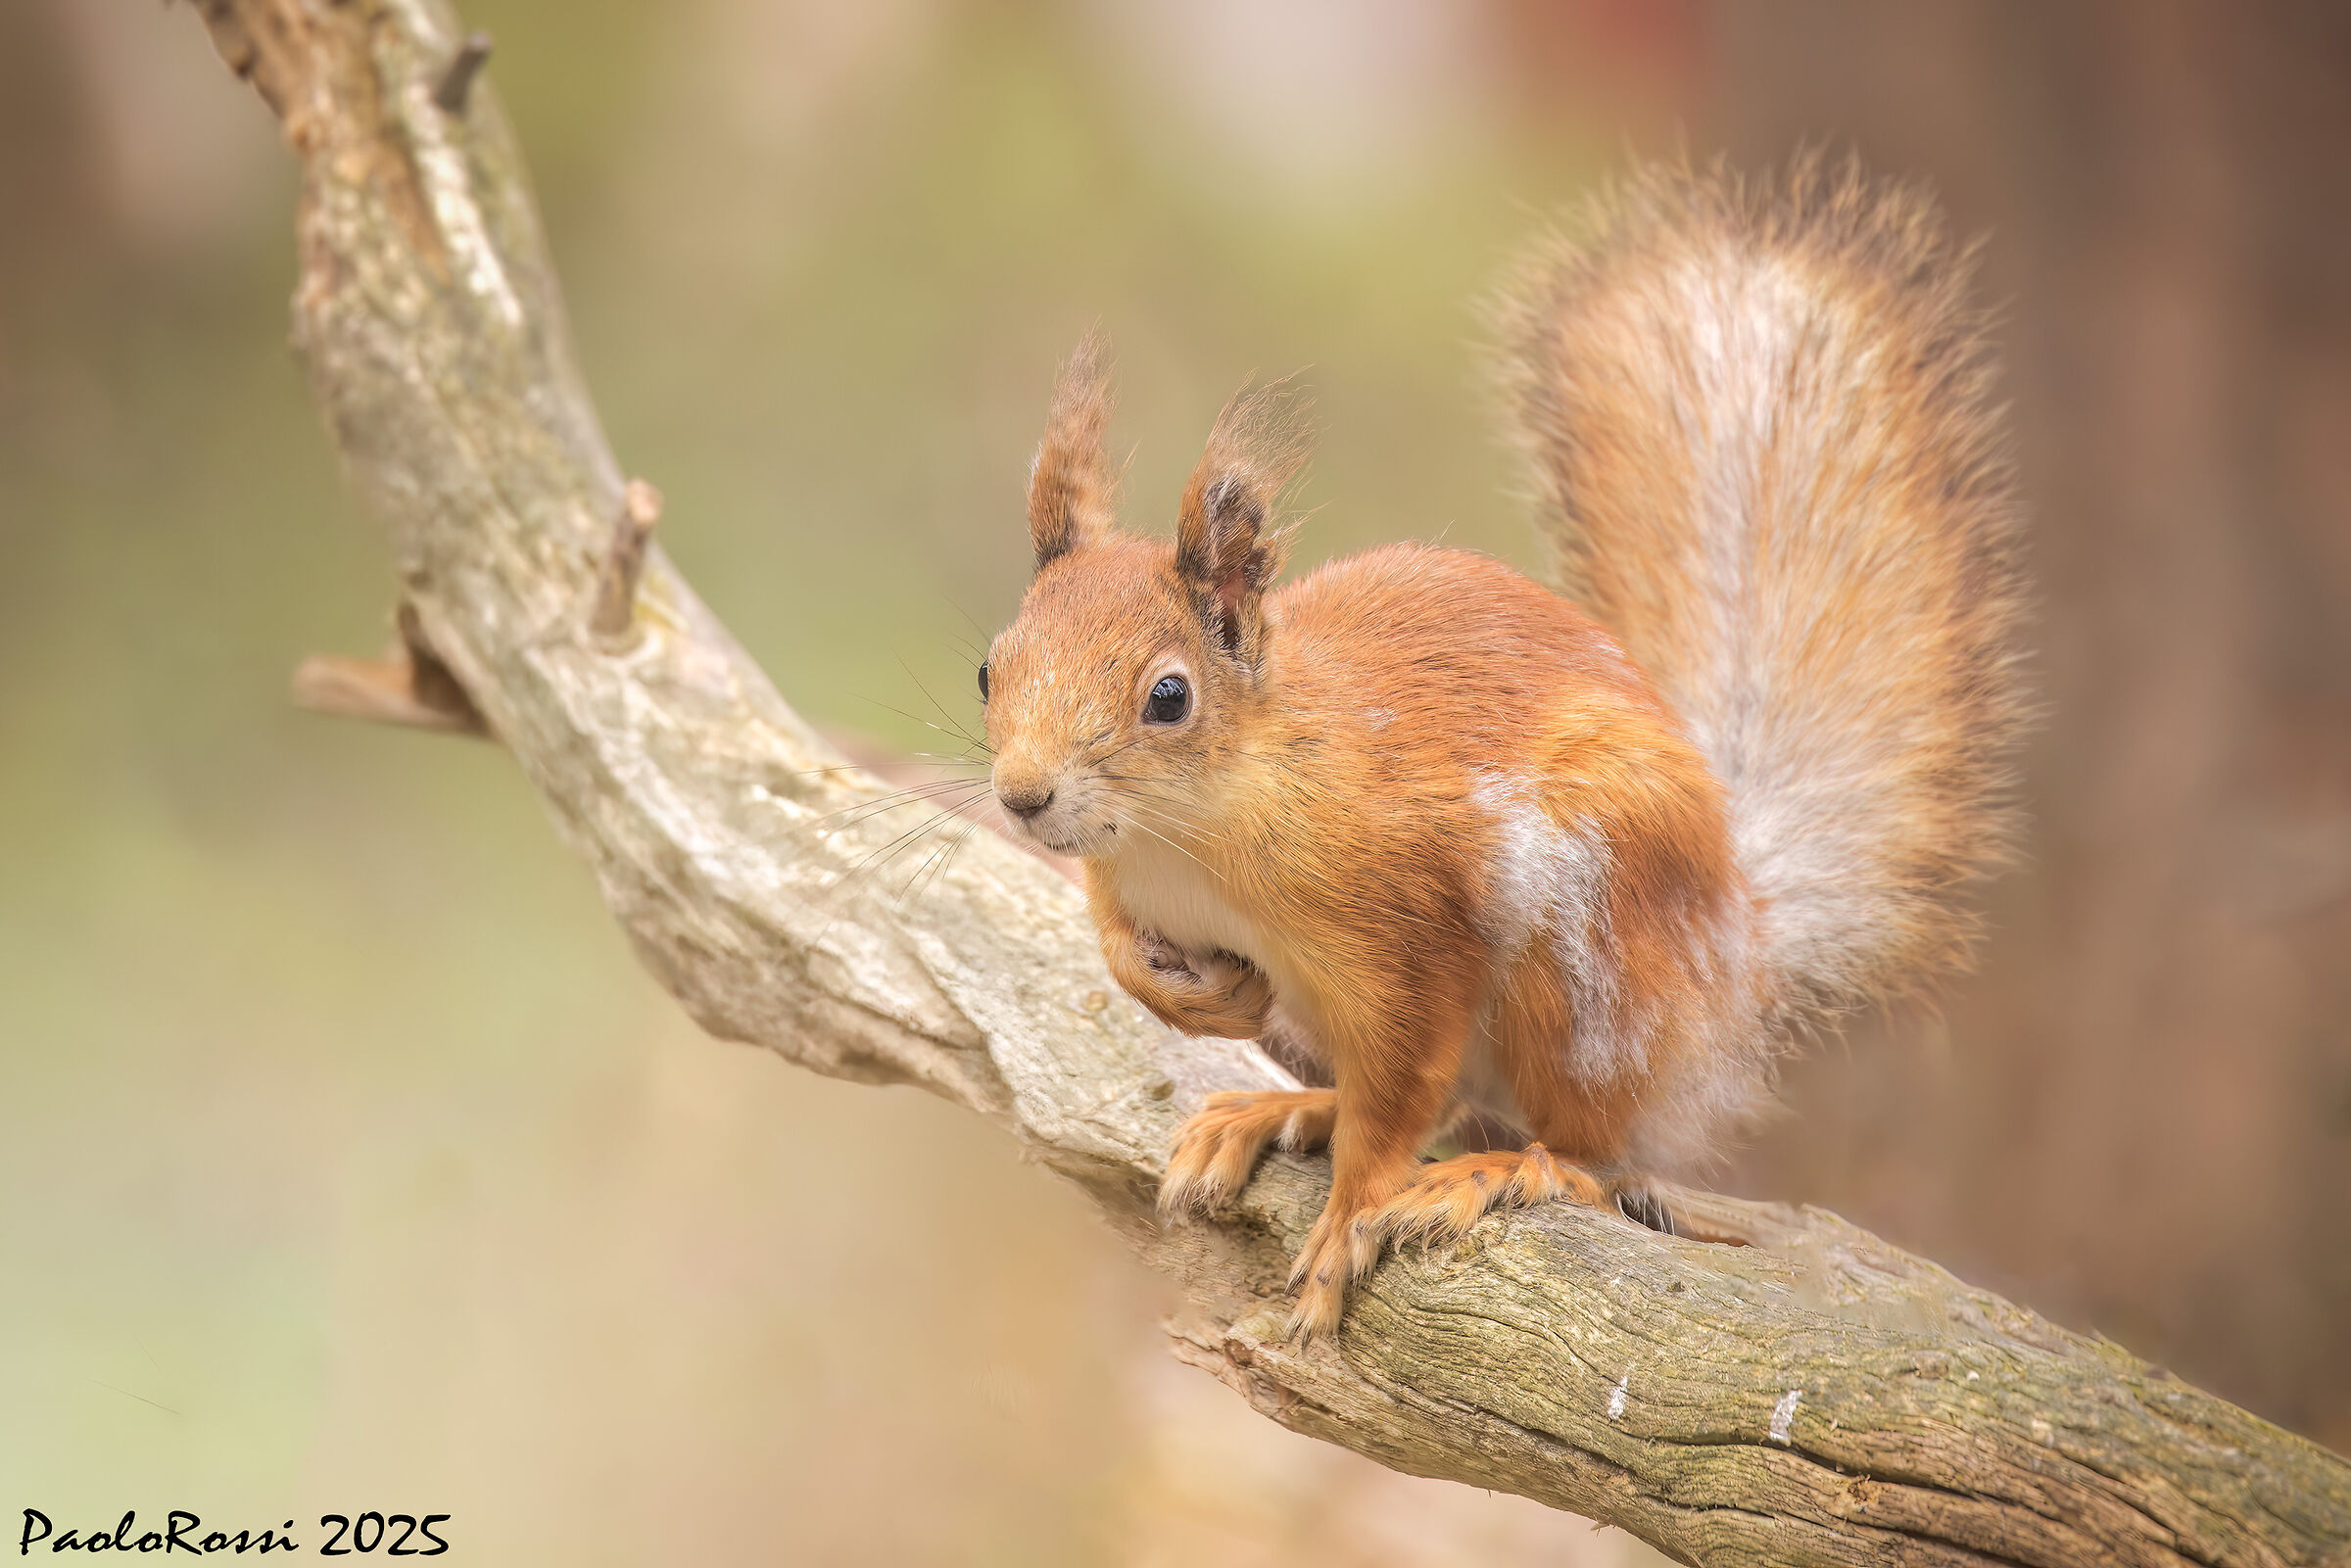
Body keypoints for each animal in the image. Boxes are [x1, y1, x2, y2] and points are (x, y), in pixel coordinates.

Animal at [978, 157, 2028, 1338]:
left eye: (1169, 695)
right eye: (989, 668)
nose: (1022, 796)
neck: (1192, 833)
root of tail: (1733, 962)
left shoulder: (1405, 935)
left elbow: (1397, 1097)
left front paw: (1349, 1218)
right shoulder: (1125, 882)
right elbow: (1120, 950)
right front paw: (1199, 998)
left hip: (1588, 964)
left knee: (1586, 1149)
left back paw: (1501, 1170)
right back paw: (1284, 1103)